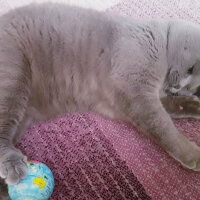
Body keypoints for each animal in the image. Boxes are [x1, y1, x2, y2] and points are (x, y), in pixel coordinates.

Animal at [0, 2, 200, 198]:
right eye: (191, 68)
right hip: (13, 81)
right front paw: (193, 155)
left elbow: (170, 108)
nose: (176, 87)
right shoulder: (134, 91)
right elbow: (163, 126)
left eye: (189, 87)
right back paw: (13, 167)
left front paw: (193, 105)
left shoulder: (122, 103)